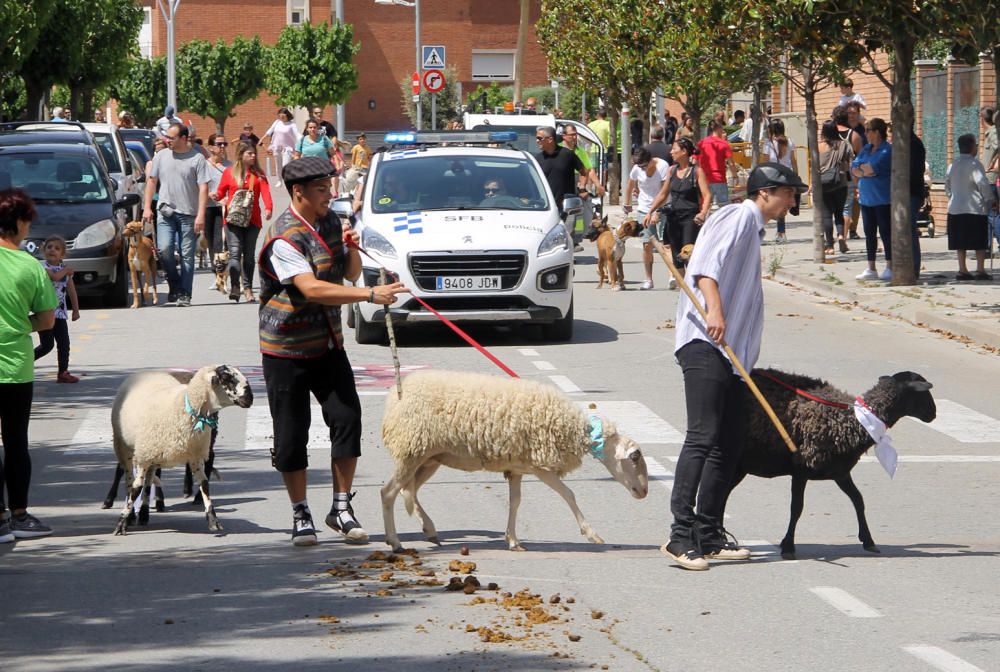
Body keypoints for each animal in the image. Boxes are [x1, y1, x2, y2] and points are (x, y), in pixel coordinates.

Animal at [111, 364, 252, 532]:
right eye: (226, 378)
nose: (250, 398)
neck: (185, 407)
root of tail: (145, 372)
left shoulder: (195, 454)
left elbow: (204, 484)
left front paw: (213, 520)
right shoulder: (145, 455)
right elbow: (135, 488)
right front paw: (121, 522)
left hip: (152, 454)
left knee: (149, 481)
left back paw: (144, 514)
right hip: (126, 447)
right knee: (129, 480)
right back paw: (131, 514)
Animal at [378, 372, 652, 552]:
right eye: (635, 456)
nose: (644, 492)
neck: (576, 430)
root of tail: (395, 395)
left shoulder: (518, 467)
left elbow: (515, 502)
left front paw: (512, 540)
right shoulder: (541, 466)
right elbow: (569, 494)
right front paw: (592, 534)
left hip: (429, 458)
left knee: (408, 490)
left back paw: (430, 530)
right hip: (413, 450)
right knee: (389, 492)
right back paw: (396, 542)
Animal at [732, 370, 932, 560]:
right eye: (923, 392)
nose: (934, 413)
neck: (854, 420)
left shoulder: (840, 473)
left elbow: (858, 500)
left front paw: (868, 541)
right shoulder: (801, 470)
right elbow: (796, 508)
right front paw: (788, 546)